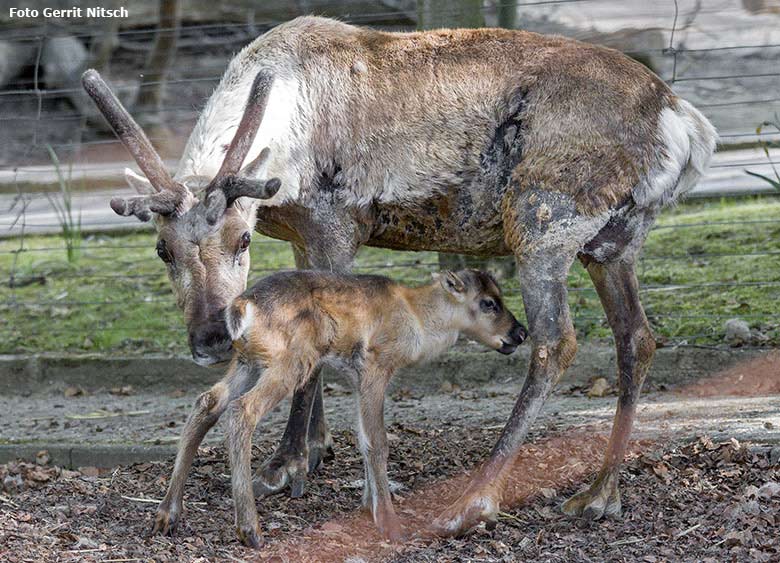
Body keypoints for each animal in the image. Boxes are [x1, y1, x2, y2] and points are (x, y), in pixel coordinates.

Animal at [190, 270, 524, 548]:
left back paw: (175, 514)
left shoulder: (356, 377)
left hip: (247, 362)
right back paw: (250, 530)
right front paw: (389, 523)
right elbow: (377, 441)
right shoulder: (377, 366)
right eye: (488, 303)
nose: (520, 332)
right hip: (287, 364)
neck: (418, 317)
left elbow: (362, 437)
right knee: (241, 410)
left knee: (206, 402)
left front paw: (367, 506)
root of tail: (241, 306)